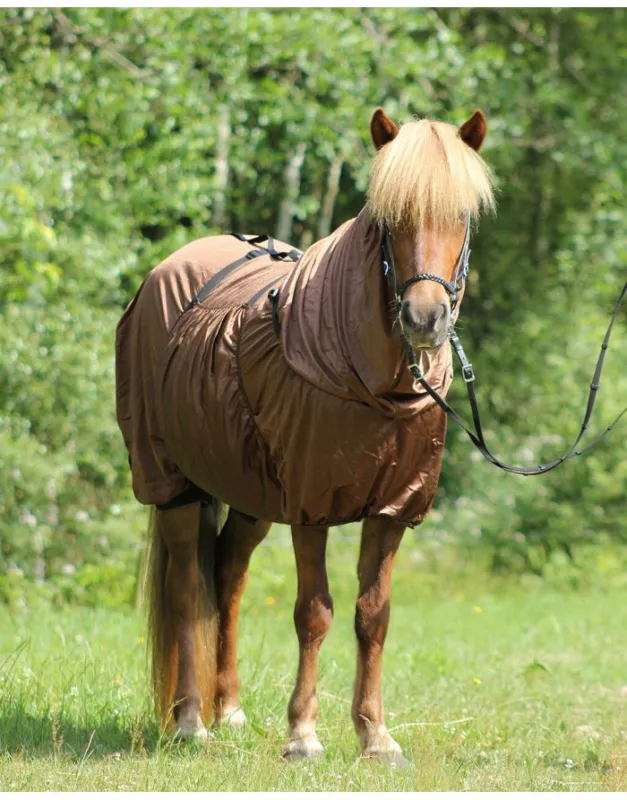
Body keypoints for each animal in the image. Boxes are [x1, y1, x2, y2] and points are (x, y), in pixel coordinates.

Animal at [115, 107, 496, 764]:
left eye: (462, 215)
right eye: (390, 219)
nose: (425, 318)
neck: (376, 388)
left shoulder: (393, 508)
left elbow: (374, 616)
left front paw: (375, 735)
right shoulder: (312, 504)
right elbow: (314, 613)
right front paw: (303, 735)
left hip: (250, 493)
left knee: (228, 578)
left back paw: (230, 710)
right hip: (171, 482)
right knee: (187, 587)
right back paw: (190, 720)